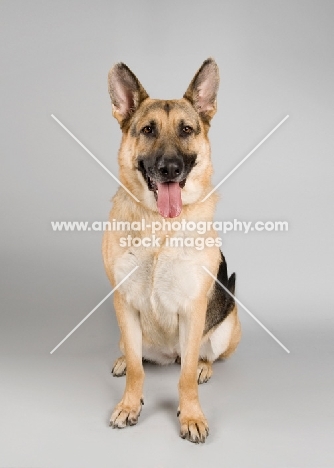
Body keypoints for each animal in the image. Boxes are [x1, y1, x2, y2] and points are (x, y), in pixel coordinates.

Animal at [102, 58, 240, 442]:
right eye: (148, 130)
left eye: (187, 130)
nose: (169, 169)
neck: (160, 227)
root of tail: (167, 355)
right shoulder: (124, 303)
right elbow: (138, 369)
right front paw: (129, 405)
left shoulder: (193, 309)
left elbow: (186, 375)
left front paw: (191, 414)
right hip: (126, 332)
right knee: (136, 354)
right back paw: (124, 361)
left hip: (226, 327)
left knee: (201, 358)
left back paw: (204, 368)